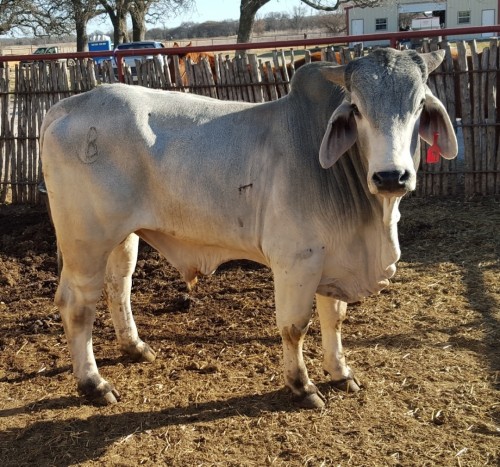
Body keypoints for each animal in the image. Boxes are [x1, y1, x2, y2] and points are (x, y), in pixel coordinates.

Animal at [41, 48, 458, 410]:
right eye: (356, 109)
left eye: (420, 105)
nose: (391, 176)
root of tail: (67, 106)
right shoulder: (296, 260)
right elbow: (294, 326)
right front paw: (302, 386)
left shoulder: (335, 259)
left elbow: (334, 317)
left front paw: (340, 372)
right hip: (85, 242)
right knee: (77, 305)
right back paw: (94, 384)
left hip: (122, 237)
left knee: (118, 287)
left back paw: (136, 347)